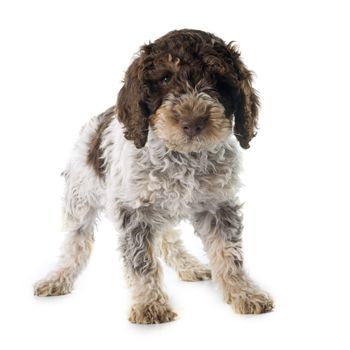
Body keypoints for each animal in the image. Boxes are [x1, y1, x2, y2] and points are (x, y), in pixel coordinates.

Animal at [33, 28, 274, 324]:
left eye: (218, 80)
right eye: (165, 78)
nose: (193, 122)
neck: (184, 157)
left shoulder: (219, 206)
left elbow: (229, 254)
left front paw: (244, 293)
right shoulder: (135, 212)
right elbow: (142, 262)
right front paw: (150, 304)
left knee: (167, 237)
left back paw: (187, 265)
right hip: (80, 197)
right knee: (75, 243)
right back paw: (58, 278)